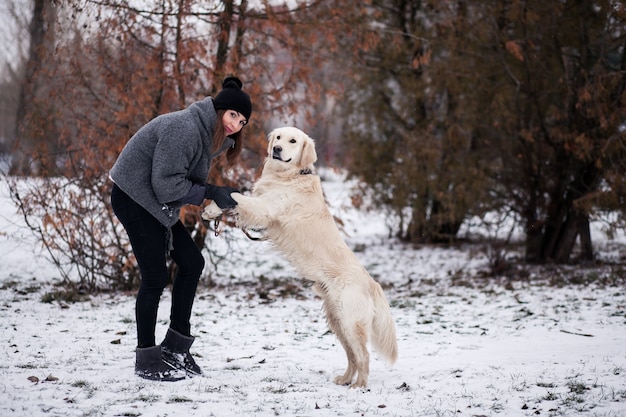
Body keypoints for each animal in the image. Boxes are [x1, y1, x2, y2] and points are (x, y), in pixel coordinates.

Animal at [202, 127, 398, 386]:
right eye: (278, 138)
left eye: (293, 141)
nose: (277, 149)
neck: (289, 175)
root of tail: (372, 283)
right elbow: (233, 199)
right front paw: (212, 209)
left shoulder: (265, 209)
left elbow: (237, 196)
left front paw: (214, 205)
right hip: (337, 321)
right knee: (352, 355)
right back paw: (345, 379)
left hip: (350, 321)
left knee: (363, 355)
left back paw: (359, 385)